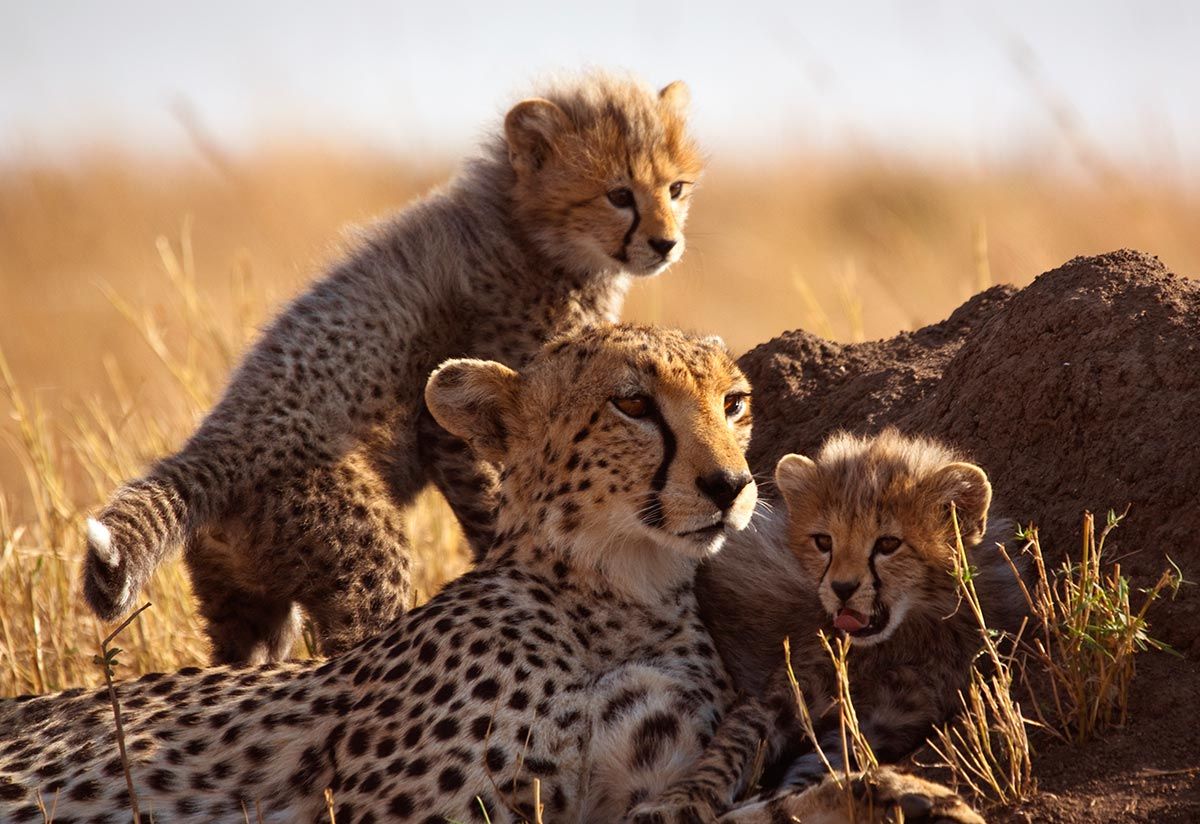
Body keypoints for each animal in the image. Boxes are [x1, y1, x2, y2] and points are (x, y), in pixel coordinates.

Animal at [2, 329, 976, 824]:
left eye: (733, 403)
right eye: (633, 403)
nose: (732, 486)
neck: (617, 593)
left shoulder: (630, 789)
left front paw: (896, 797)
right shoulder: (410, 814)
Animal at [81, 72, 705, 665]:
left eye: (676, 189)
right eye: (618, 195)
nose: (667, 243)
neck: (525, 230)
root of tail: (213, 443)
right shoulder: (454, 421)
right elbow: (495, 500)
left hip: (247, 605)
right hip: (362, 556)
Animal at [629, 429, 1023, 822]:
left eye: (888, 544)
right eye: (823, 542)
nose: (842, 588)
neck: (894, 644)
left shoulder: (877, 724)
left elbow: (817, 771)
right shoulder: (783, 696)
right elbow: (732, 745)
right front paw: (681, 799)